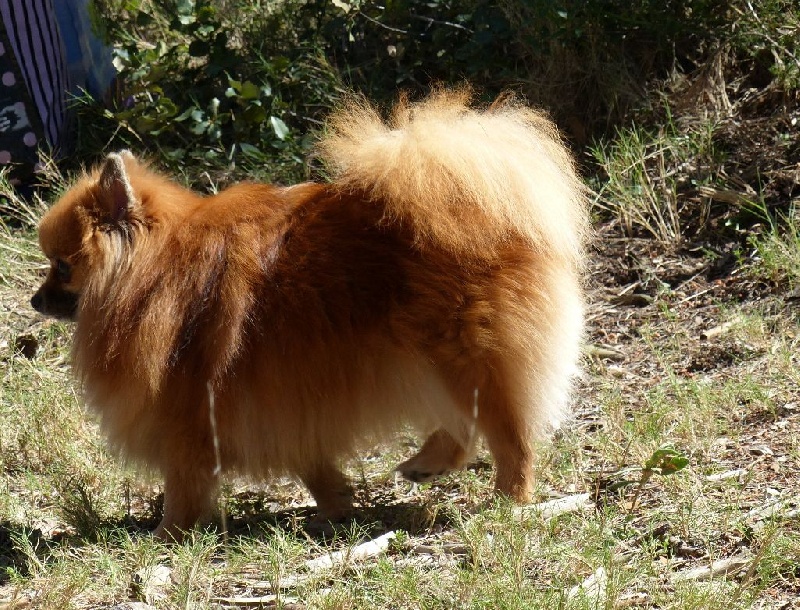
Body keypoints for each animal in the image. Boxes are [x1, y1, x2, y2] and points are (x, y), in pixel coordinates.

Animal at [31, 90, 592, 536]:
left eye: (61, 266)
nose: (35, 300)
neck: (156, 269)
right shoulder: (281, 398)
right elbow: (311, 464)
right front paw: (335, 506)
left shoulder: (189, 409)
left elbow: (183, 480)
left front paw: (168, 534)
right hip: (433, 360)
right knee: (465, 427)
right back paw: (424, 465)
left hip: (462, 356)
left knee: (507, 434)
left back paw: (512, 499)